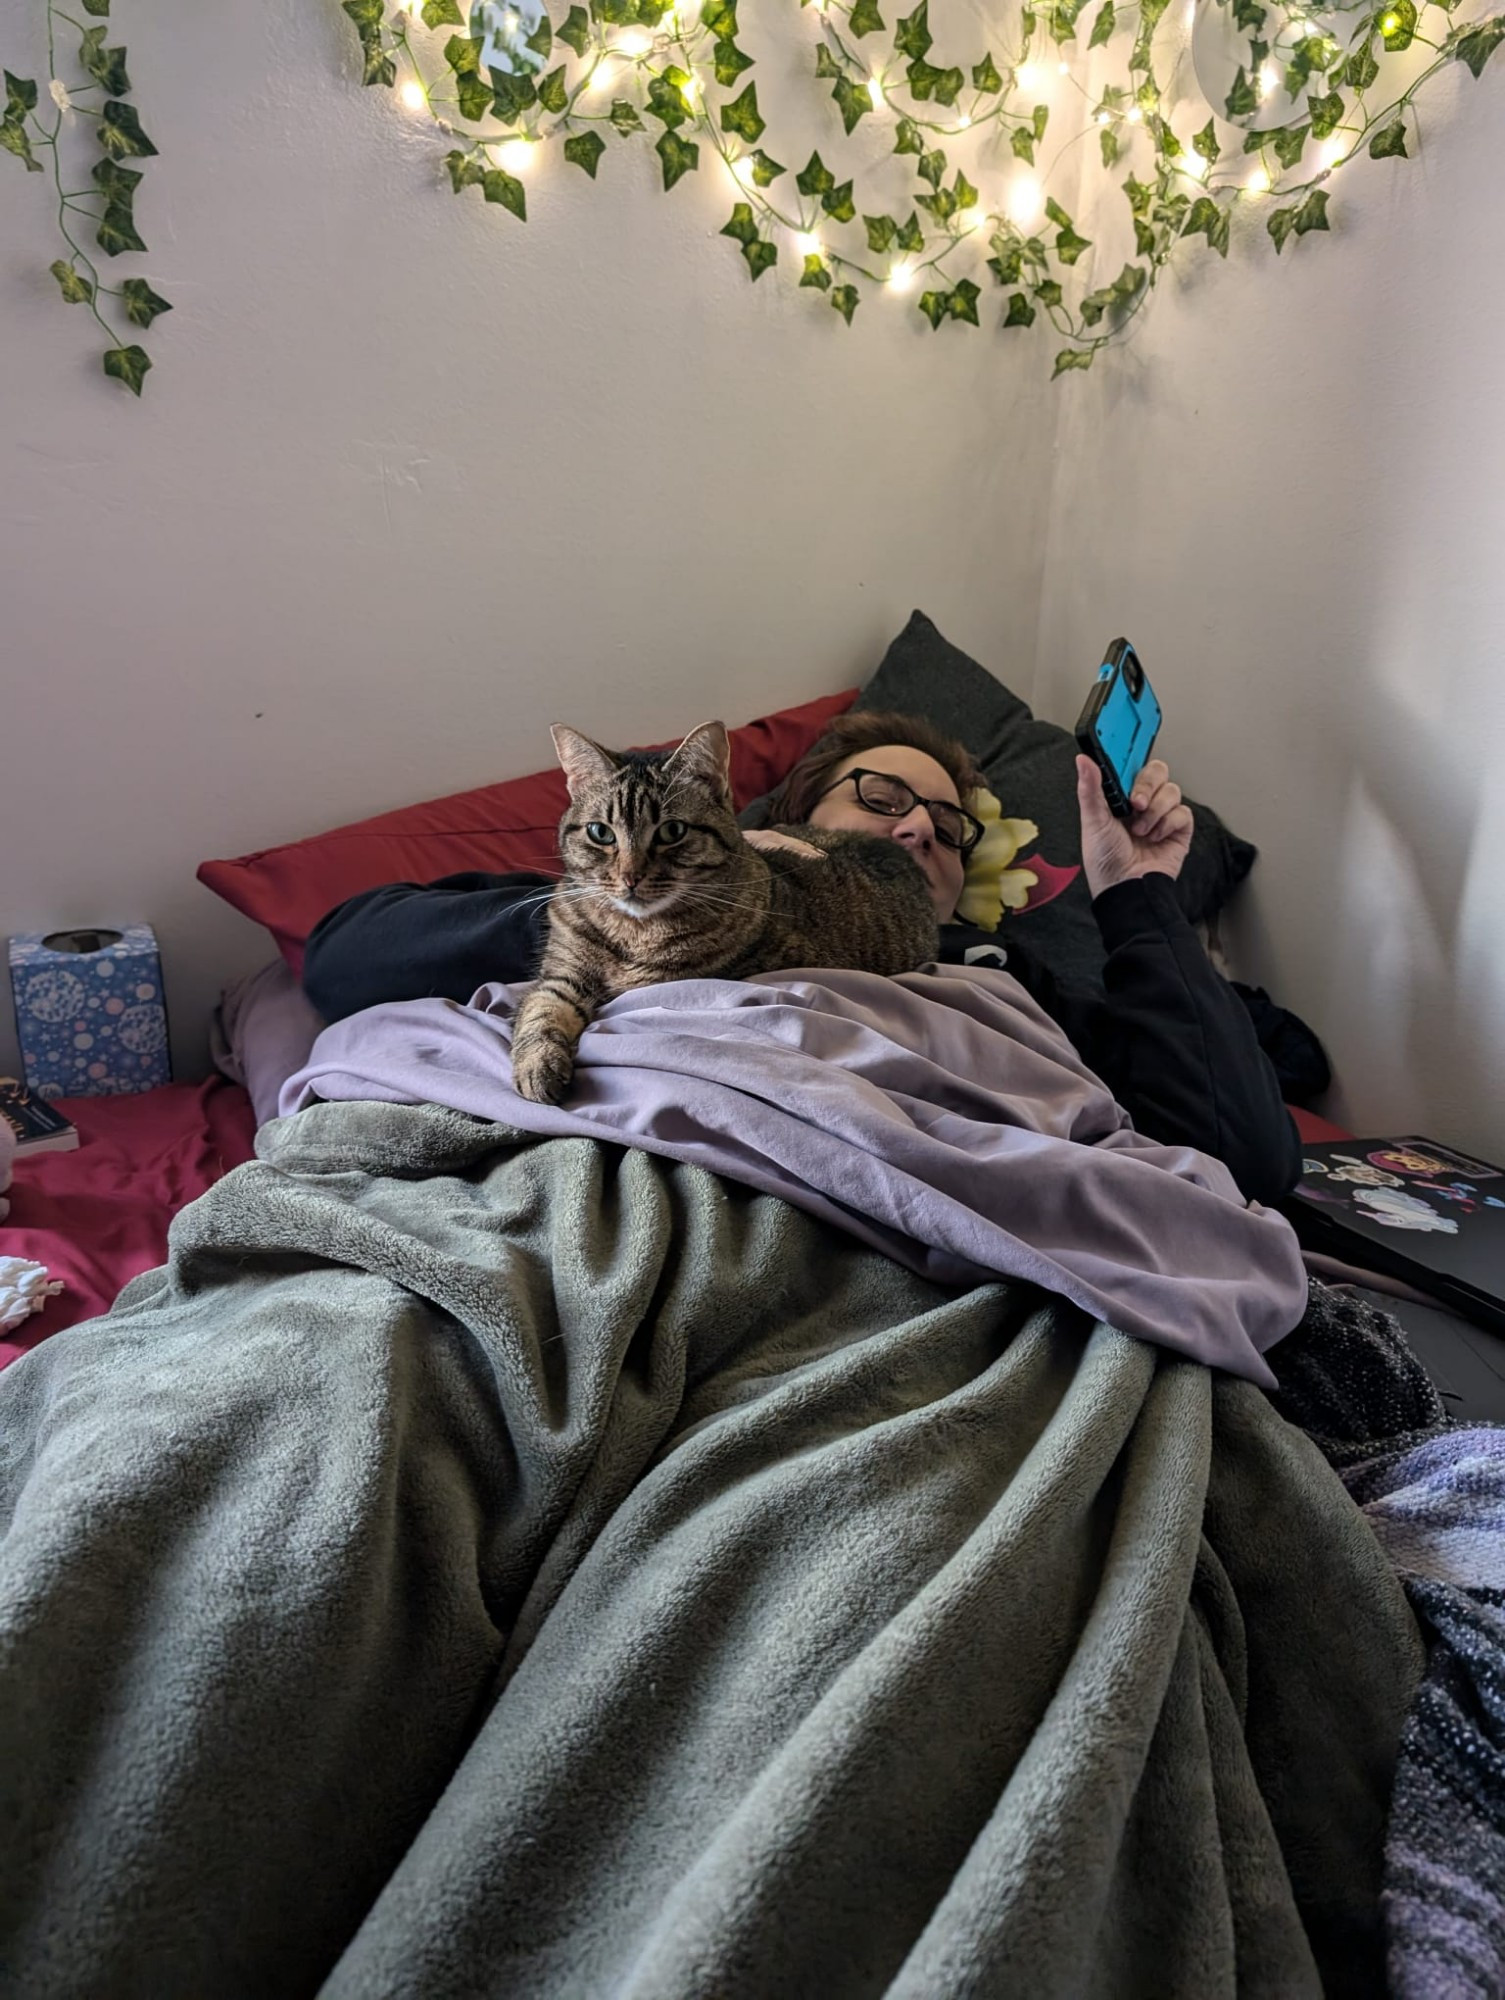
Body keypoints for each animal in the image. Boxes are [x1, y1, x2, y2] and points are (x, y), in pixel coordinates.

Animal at [512, 716, 936, 1104]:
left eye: (672, 831)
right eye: (600, 832)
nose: (630, 877)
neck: (634, 932)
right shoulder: (563, 973)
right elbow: (541, 1009)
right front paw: (537, 1066)